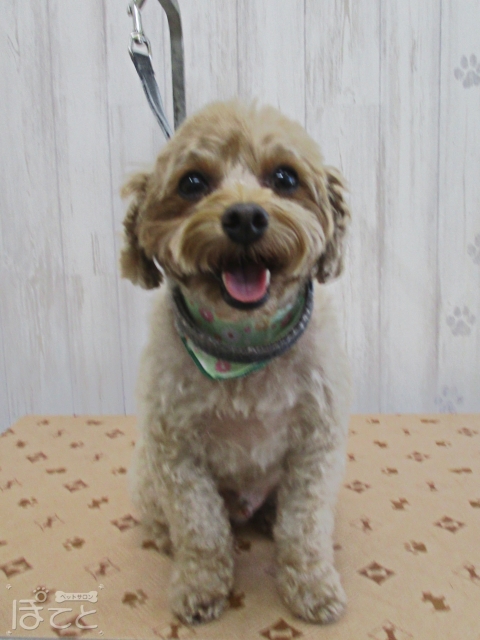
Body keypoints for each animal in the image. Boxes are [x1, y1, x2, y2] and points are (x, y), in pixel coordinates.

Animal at [120, 101, 351, 625]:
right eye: (192, 183)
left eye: (284, 178)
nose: (245, 216)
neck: (243, 346)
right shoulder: (174, 450)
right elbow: (201, 529)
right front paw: (200, 588)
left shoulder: (316, 443)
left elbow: (305, 527)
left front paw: (312, 586)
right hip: (145, 474)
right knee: (167, 516)